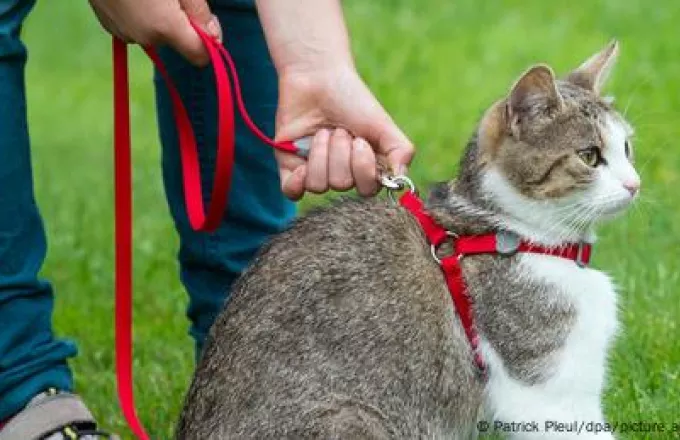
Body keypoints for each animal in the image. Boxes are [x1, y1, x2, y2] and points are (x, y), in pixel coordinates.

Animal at [175, 39, 636, 438]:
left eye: (627, 148)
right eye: (590, 156)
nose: (634, 184)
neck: (513, 234)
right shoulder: (546, 389)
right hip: (352, 420)